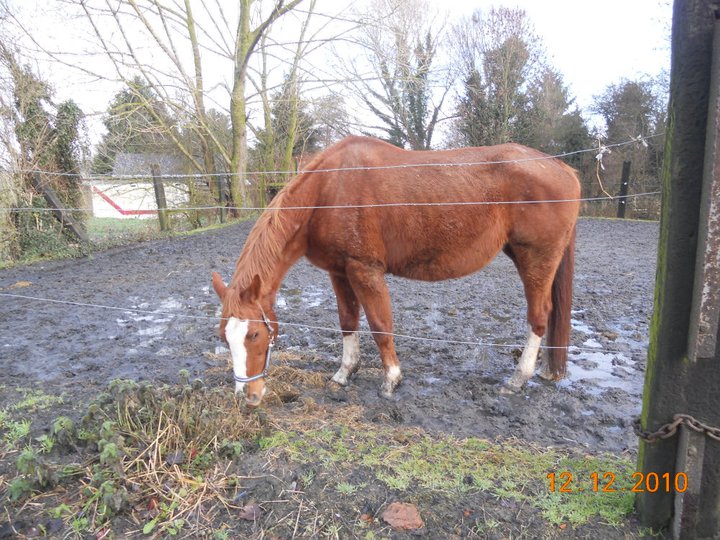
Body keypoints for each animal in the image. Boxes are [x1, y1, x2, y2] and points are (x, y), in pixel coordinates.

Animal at [210, 135, 580, 404]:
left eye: (255, 335)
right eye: (224, 337)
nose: (248, 396)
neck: (329, 190)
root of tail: (563, 169)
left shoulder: (365, 271)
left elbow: (380, 325)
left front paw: (391, 379)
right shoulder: (339, 272)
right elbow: (348, 322)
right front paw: (345, 373)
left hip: (535, 259)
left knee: (539, 316)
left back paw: (518, 379)